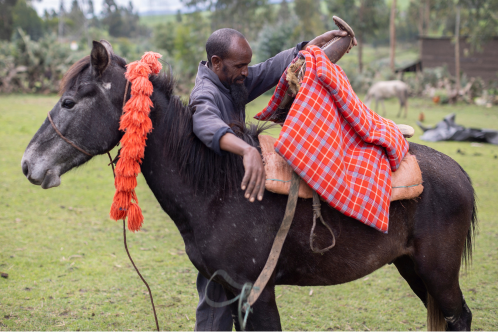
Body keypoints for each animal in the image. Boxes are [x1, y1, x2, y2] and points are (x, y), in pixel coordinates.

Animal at [21, 42, 476, 332]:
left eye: (69, 102)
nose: (28, 165)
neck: (217, 191)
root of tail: (459, 172)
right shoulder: (226, 290)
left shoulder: (256, 291)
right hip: (412, 268)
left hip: (438, 273)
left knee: (461, 318)